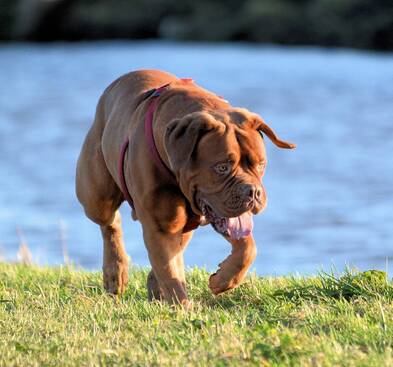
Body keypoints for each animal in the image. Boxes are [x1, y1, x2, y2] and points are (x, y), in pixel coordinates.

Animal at [75, 70, 292, 306]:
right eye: (222, 167)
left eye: (261, 165)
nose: (252, 192)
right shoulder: (161, 227)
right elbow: (171, 274)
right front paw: (182, 307)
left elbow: (247, 248)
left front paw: (223, 280)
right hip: (96, 196)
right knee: (110, 221)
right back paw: (115, 273)